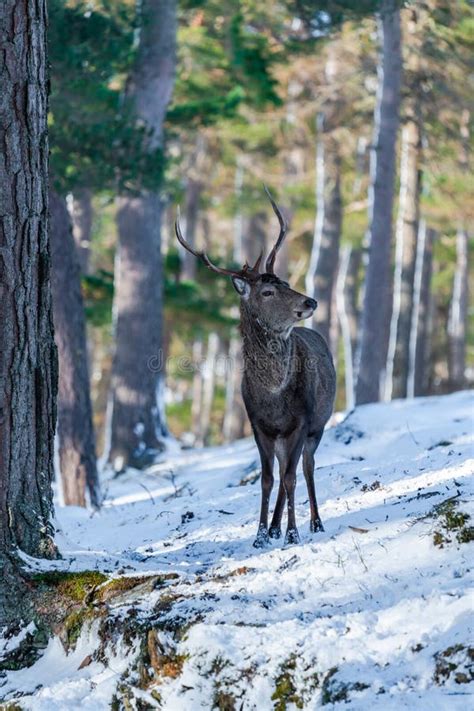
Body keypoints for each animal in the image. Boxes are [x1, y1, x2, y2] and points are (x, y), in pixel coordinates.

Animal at [176, 186, 336, 548]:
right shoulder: (258, 425)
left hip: (318, 424)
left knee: (306, 467)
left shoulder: (300, 421)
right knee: (284, 469)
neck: (273, 395)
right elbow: (266, 479)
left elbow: (290, 477)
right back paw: (276, 527)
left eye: (287, 282)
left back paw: (315, 523)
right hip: (282, 436)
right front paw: (261, 534)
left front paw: (292, 532)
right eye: (267, 291)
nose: (311, 301)